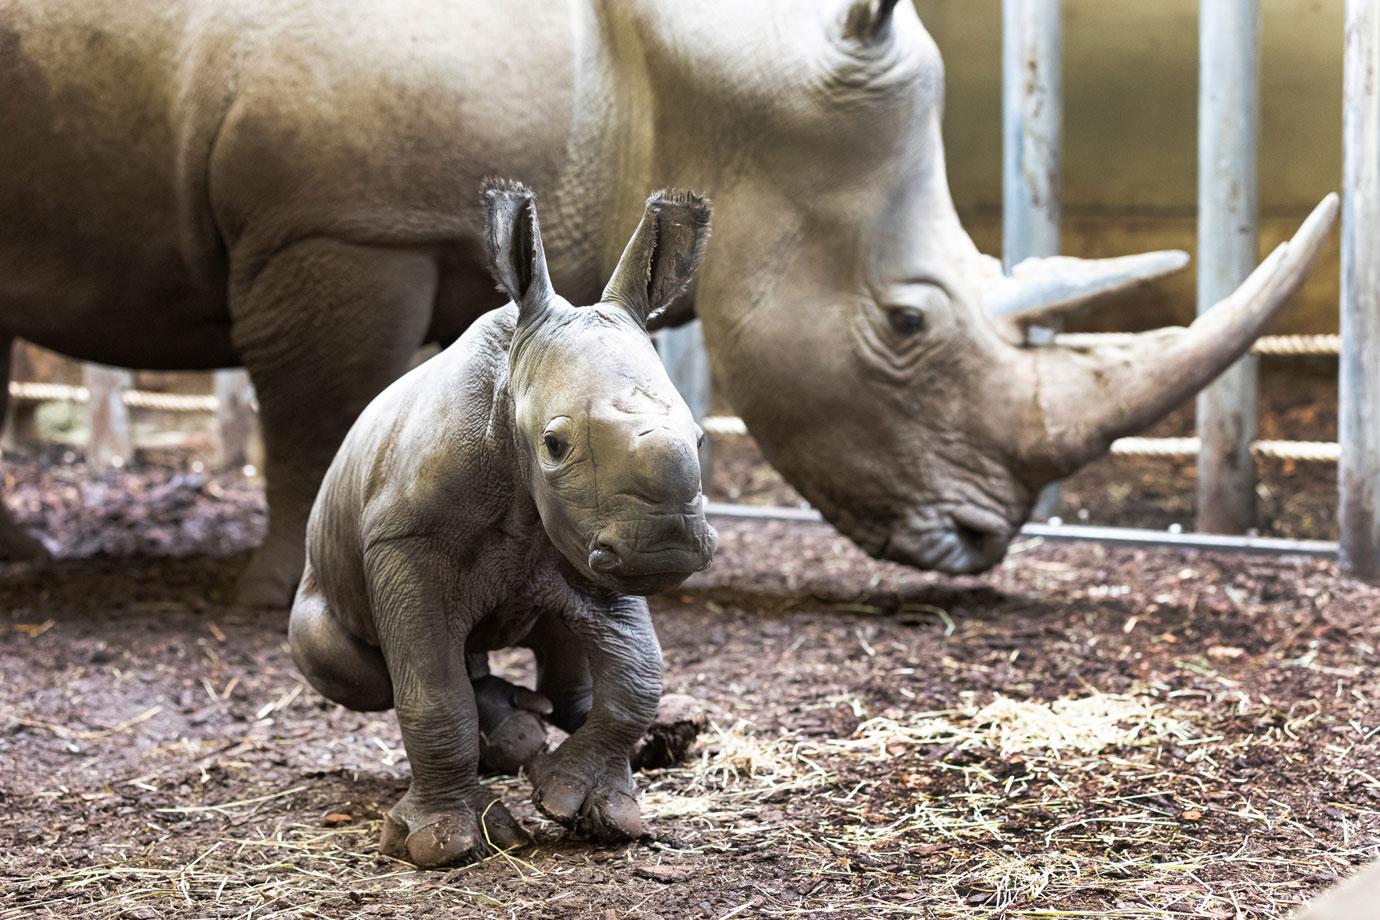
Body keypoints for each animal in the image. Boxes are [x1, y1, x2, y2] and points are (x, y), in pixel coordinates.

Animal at [0, 0, 1335, 604]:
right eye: (907, 324)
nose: (980, 541)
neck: (688, 64)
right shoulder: (338, 216)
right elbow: (321, 412)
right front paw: (282, 593)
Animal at [293, 182, 723, 871]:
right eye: (553, 444)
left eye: (702, 438)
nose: (667, 548)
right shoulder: (405, 544)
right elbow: (432, 691)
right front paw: (444, 843)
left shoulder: (593, 539)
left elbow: (638, 672)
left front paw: (596, 809)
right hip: (320, 581)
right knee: (358, 670)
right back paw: (515, 734)